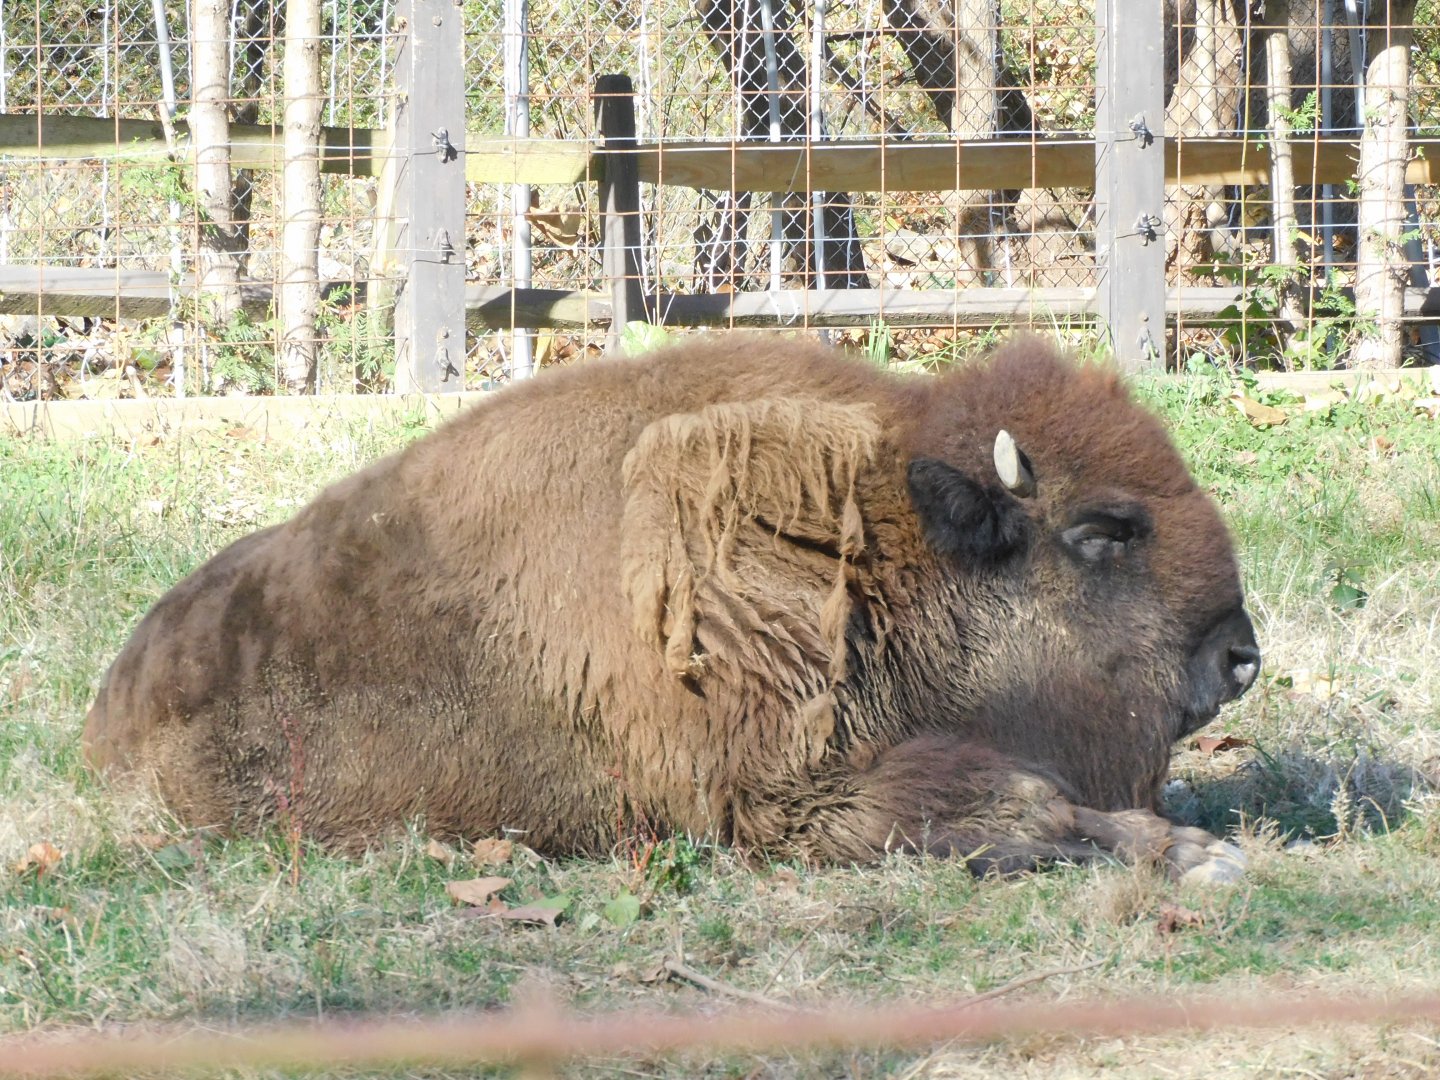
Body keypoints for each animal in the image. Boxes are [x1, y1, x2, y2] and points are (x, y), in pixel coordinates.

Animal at [85, 335, 1259, 880]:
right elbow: (1021, 803)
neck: (884, 547)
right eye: (1105, 529)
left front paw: (1193, 846)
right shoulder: (781, 805)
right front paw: (1197, 856)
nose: (1240, 658)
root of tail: (110, 706)